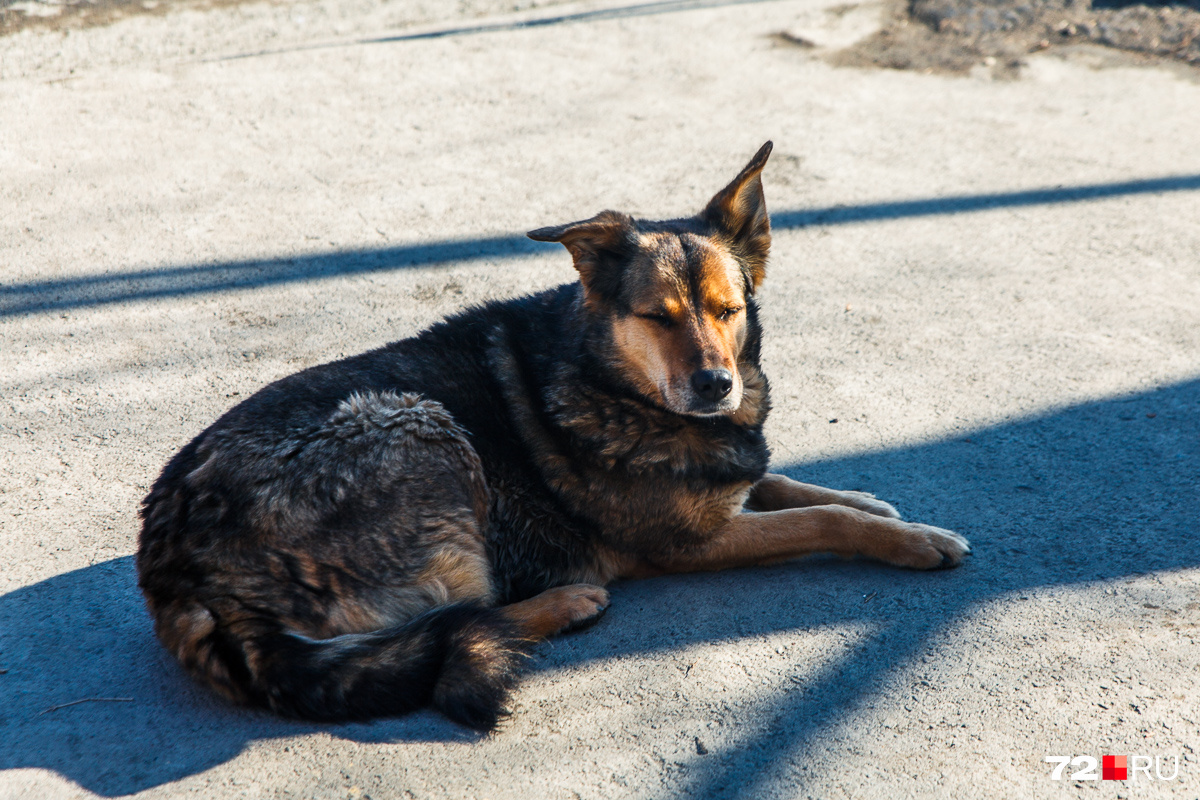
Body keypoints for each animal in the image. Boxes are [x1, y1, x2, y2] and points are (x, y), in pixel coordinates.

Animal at [138, 143, 964, 734]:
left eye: (728, 311)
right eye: (657, 317)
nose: (715, 386)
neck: (608, 377)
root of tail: (181, 578)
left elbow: (783, 480)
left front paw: (868, 498)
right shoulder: (688, 544)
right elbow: (817, 519)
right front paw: (914, 539)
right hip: (413, 422)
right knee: (462, 620)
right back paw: (567, 601)